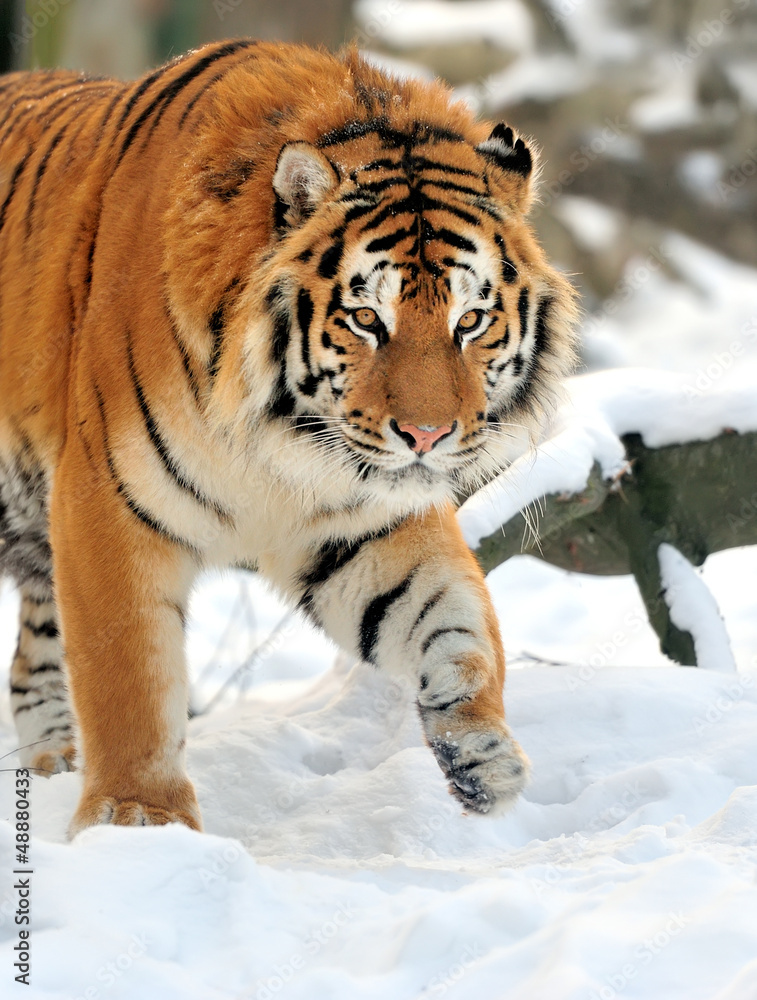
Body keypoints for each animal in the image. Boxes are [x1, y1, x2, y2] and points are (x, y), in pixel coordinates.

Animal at [0, 40, 577, 836]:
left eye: (470, 322)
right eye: (366, 320)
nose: (426, 435)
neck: (278, 441)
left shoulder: (363, 523)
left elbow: (457, 617)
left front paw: (481, 753)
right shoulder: (108, 504)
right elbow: (130, 681)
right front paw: (135, 819)